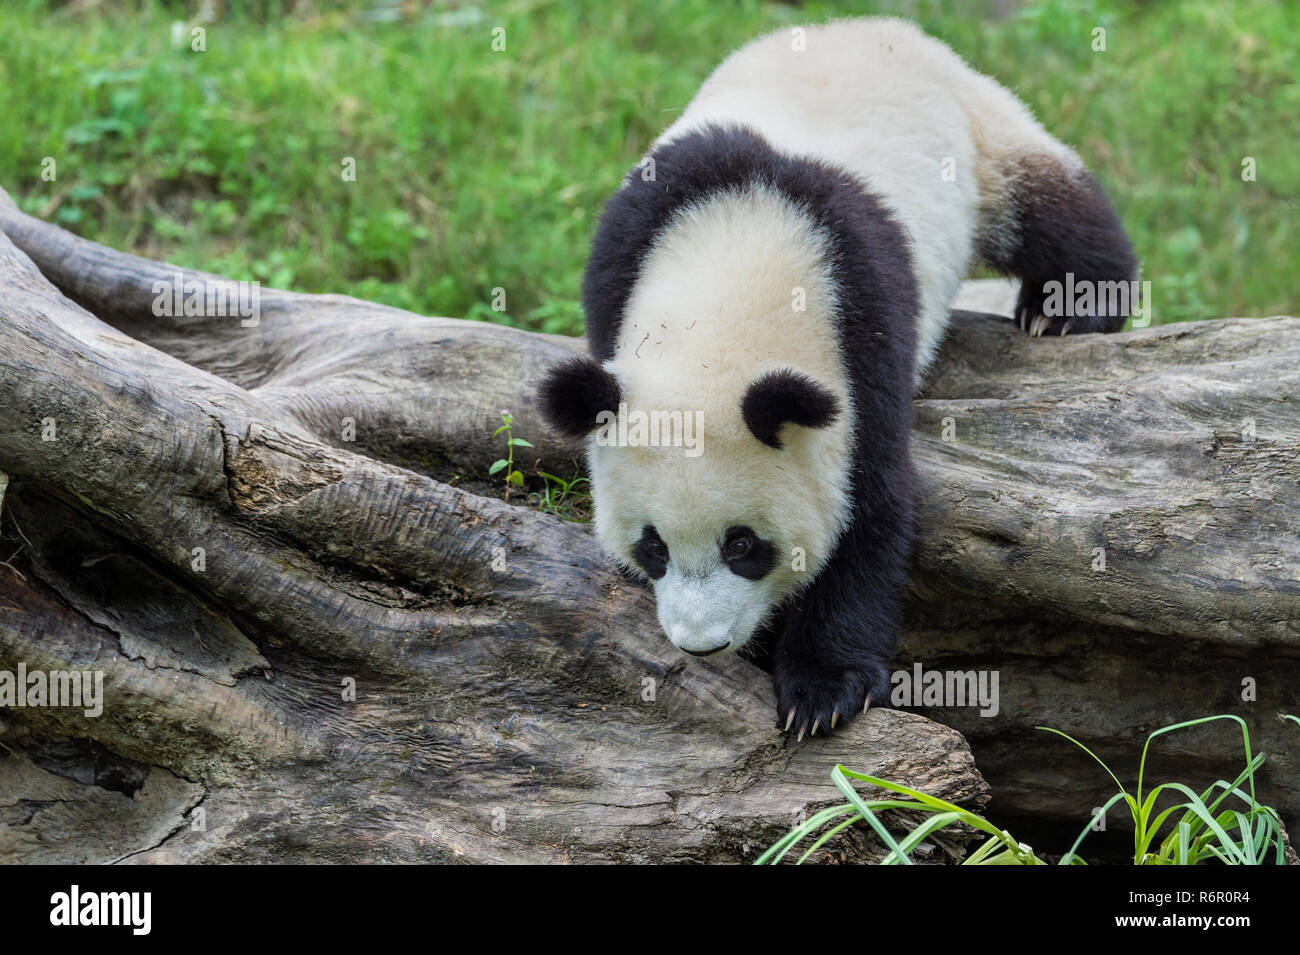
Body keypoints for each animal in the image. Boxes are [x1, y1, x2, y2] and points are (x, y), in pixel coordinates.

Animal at [533, 18, 1133, 743]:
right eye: (653, 547)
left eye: (744, 545)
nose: (702, 644)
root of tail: (864, 26)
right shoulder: (624, 255)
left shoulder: (861, 324)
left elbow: (870, 506)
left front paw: (822, 689)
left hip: (976, 131)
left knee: (1049, 201)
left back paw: (1070, 306)